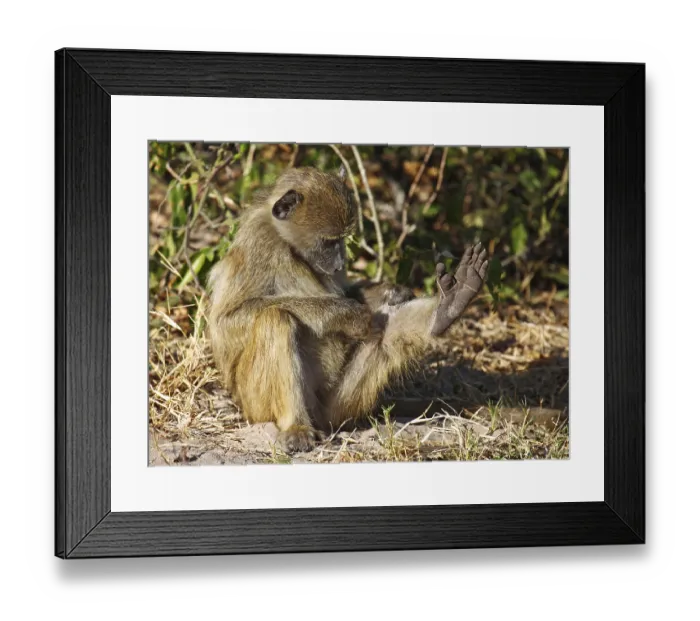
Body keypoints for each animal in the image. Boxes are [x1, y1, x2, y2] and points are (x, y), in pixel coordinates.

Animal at [207, 165, 489, 452]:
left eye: (342, 240)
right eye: (328, 241)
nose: (340, 263)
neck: (287, 243)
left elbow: (354, 295)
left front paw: (392, 292)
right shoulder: (259, 243)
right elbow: (226, 322)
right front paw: (345, 314)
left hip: (335, 404)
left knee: (383, 330)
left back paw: (448, 308)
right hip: (256, 404)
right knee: (275, 319)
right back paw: (296, 426)